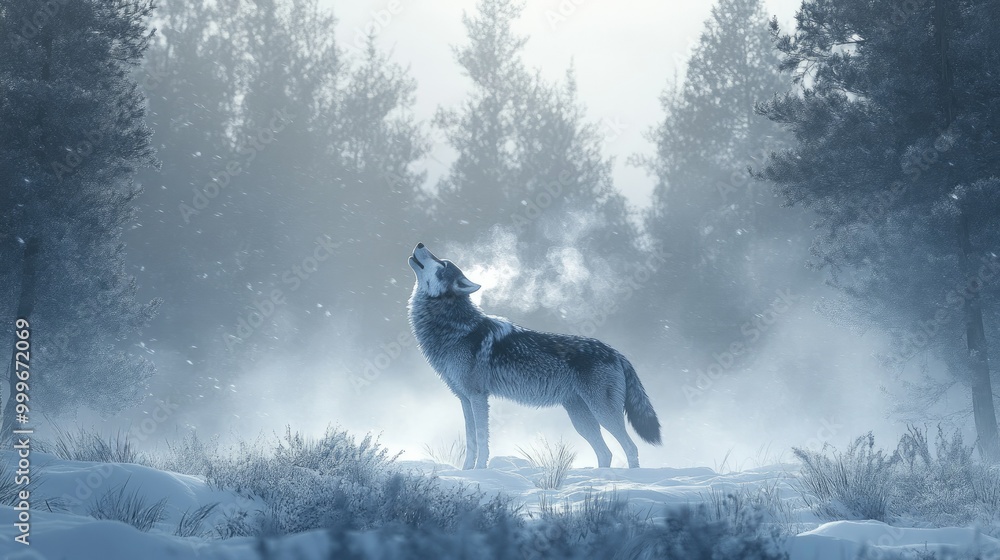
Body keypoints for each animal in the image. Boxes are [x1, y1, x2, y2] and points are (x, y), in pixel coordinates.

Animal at [407, 243, 661, 469]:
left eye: (442, 263)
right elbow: (471, 442)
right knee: (605, 453)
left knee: (630, 448)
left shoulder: (478, 397)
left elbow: (481, 439)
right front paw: (466, 472)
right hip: (581, 418)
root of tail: (616, 352)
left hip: (603, 413)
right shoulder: (464, 399)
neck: (456, 328)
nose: (420, 243)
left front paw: (480, 472)